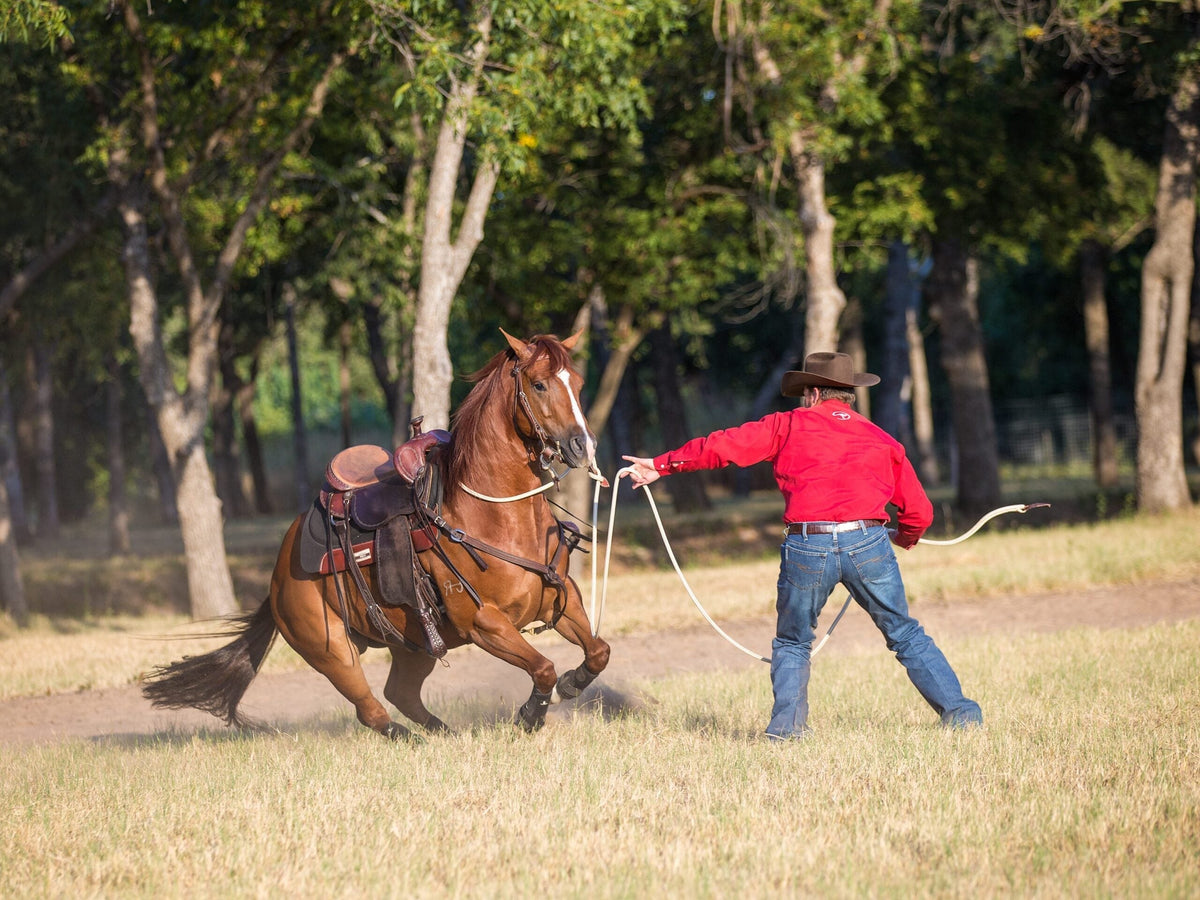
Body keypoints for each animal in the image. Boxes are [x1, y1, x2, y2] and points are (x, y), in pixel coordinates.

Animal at [142, 330, 611, 739]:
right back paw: (416, 739)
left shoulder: (562, 600)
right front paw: (531, 714)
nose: (582, 446)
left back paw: (447, 735)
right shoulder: (485, 624)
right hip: (332, 652)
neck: (495, 517)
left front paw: (571, 683)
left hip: (414, 644)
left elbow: (598, 651)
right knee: (372, 710)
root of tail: (276, 576)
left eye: (578, 382)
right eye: (539, 384)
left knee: (400, 694)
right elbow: (543, 668)